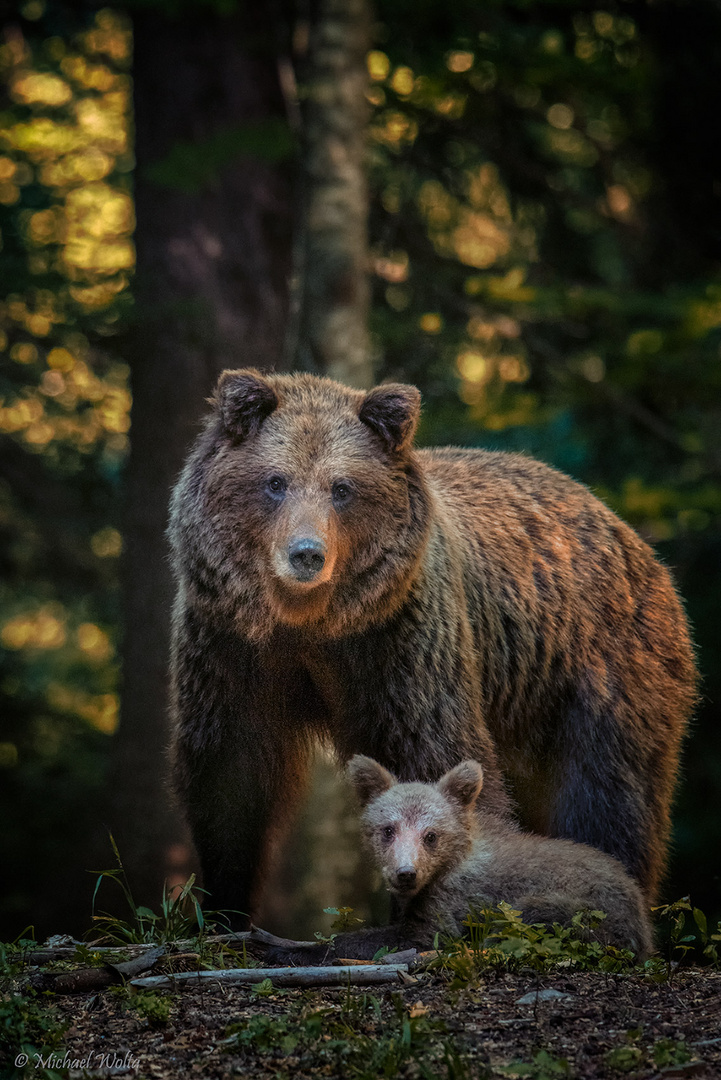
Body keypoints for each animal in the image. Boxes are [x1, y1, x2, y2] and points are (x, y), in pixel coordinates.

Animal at [166, 369, 695, 920]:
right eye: (275, 482)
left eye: (342, 488)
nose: (307, 553)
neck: (310, 625)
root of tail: (624, 530)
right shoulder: (231, 648)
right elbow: (229, 780)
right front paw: (225, 908)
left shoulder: (401, 647)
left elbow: (437, 756)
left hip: (601, 671)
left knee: (609, 796)